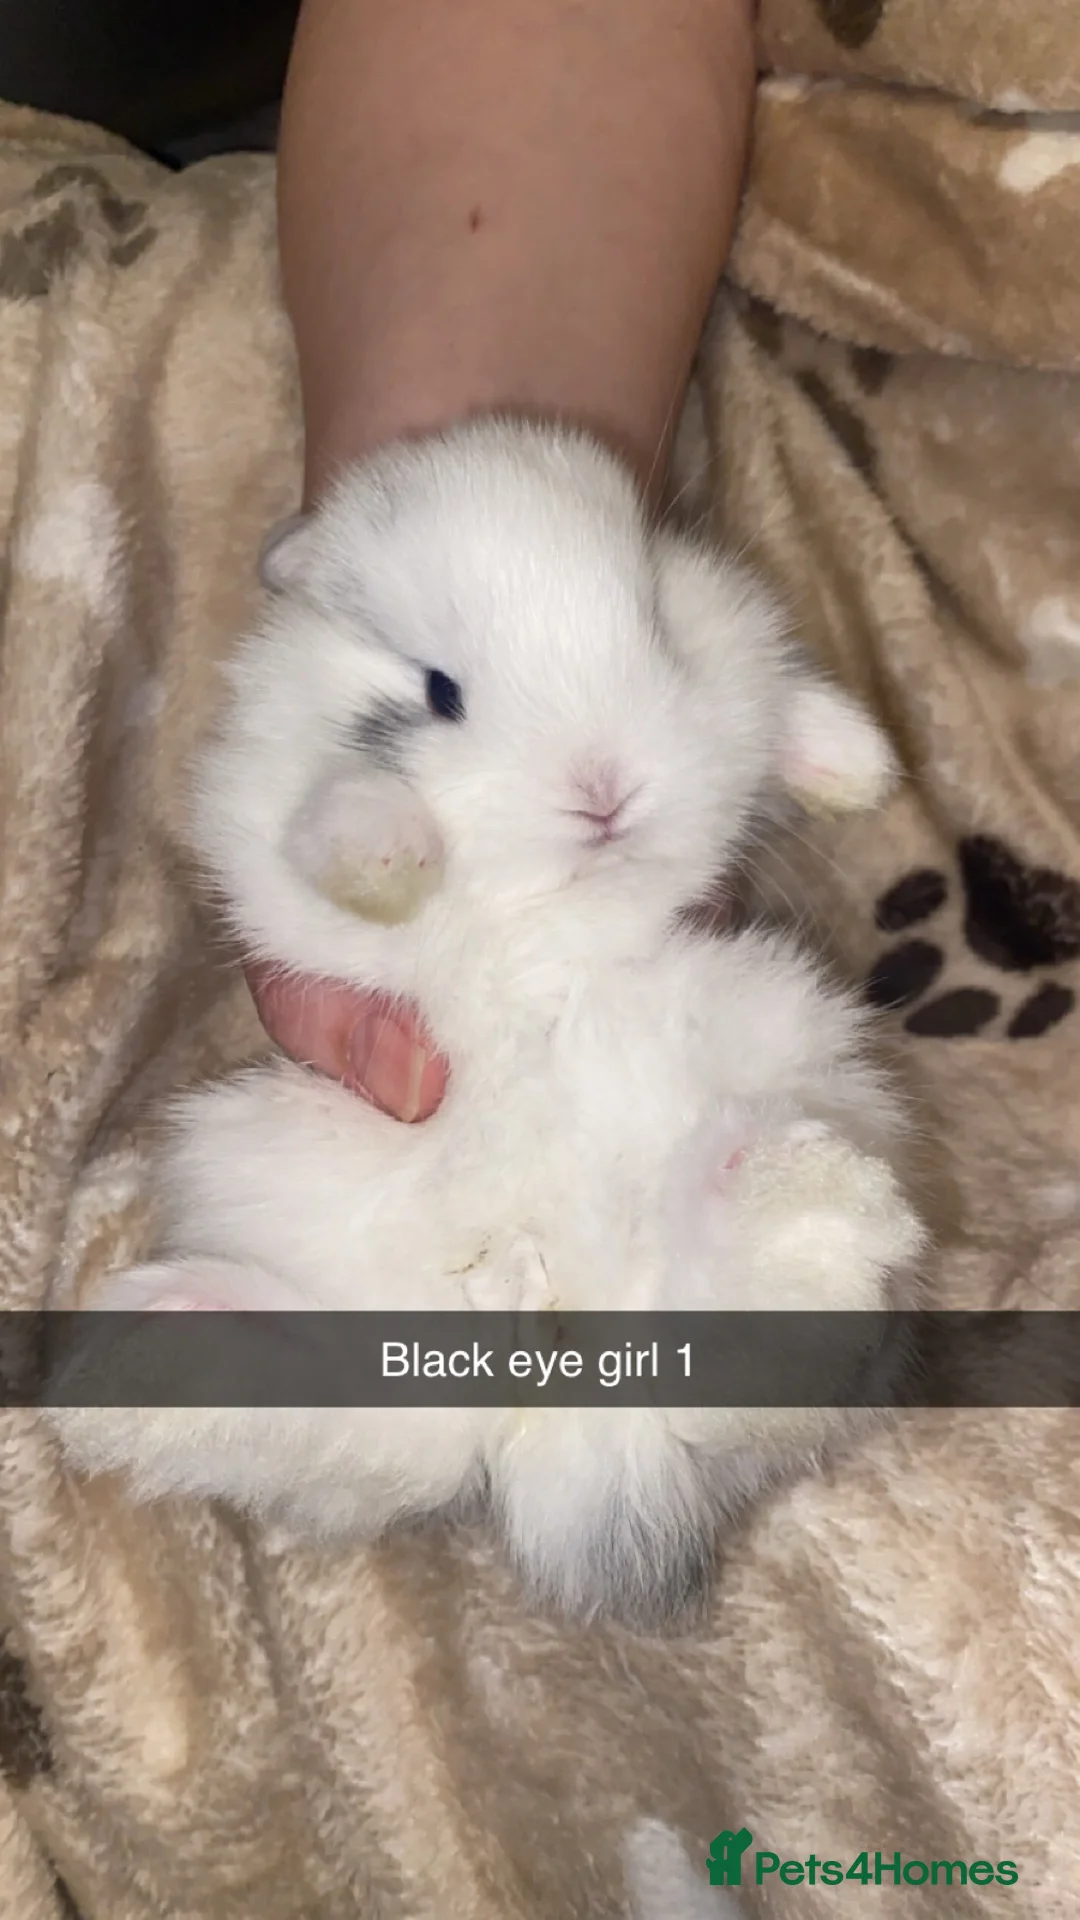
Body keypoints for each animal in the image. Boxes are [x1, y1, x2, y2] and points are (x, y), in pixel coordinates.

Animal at [47, 417, 926, 1627]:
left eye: (655, 632)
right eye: (439, 691)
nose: (602, 790)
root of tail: (545, 1363)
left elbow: (785, 697)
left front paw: (856, 767)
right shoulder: (279, 816)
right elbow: (334, 819)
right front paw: (388, 862)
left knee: (741, 1351)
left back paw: (797, 1202)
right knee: (384, 1436)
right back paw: (133, 1363)